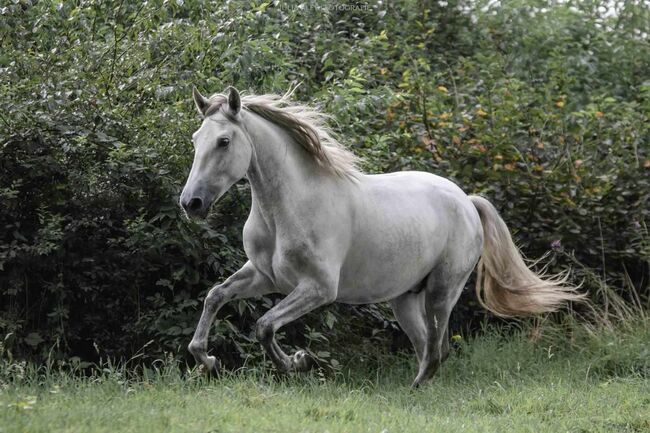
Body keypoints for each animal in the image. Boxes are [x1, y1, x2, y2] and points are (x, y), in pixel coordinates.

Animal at [178, 86, 584, 386]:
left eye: (224, 141)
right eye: (196, 139)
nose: (191, 203)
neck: (288, 208)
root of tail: (466, 200)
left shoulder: (318, 289)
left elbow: (264, 326)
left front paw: (298, 361)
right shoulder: (265, 277)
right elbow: (215, 297)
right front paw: (207, 360)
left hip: (442, 292)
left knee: (437, 350)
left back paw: (414, 390)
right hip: (405, 299)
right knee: (426, 348)